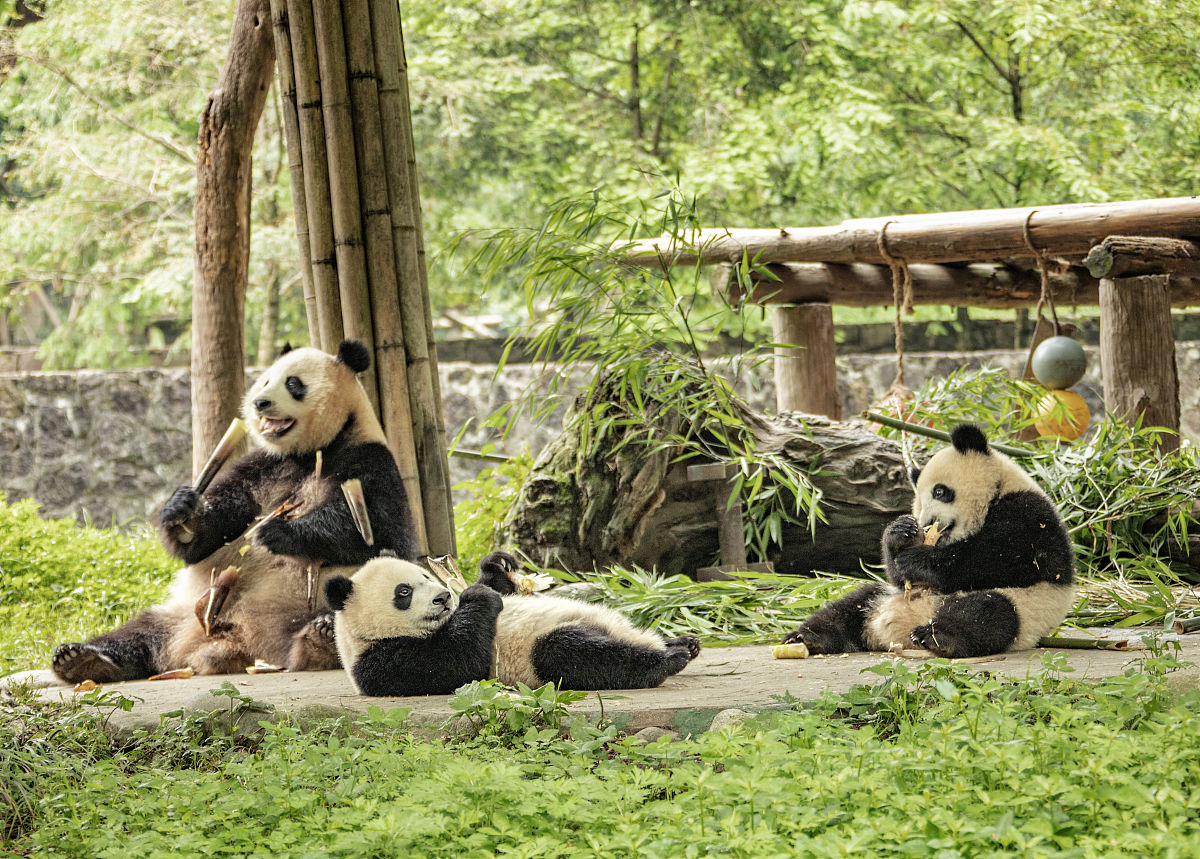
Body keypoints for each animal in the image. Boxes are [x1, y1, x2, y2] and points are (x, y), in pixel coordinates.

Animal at [50, 340, 415, 684]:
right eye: (265, 380)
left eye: (293, 383)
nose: (260, 403)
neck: (310, 453)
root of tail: (241, 645)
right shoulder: (261, 468)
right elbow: (214, 529)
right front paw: (183, 513)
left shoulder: (369, 460)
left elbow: (375, 529)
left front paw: (280, 532)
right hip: (186, 613)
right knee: (141, 631)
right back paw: (81, 659)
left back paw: (321, 637)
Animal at [325, 552, 702, 696]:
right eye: (403, 592)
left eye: (425, 576)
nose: (444, 597)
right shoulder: (382, 661)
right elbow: (455, 665)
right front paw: (477, 597)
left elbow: (498, 584)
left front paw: (496, 566)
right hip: (543, 651)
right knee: (574, 653)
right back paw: (668, 660)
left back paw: (683, 643)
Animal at [781, 423, 1075, 659]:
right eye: (919, 503)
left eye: (940, 492)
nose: (925, 523)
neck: (997, 493)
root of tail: (896, 633)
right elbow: (897, 576)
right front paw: (900, 533)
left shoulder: (1030, 515)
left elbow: (1002, 560)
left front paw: (918, 559)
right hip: (882, 597)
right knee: (850, 605)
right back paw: (808, 636)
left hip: (1025, 609)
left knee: (988, 613)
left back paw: (937, 637)